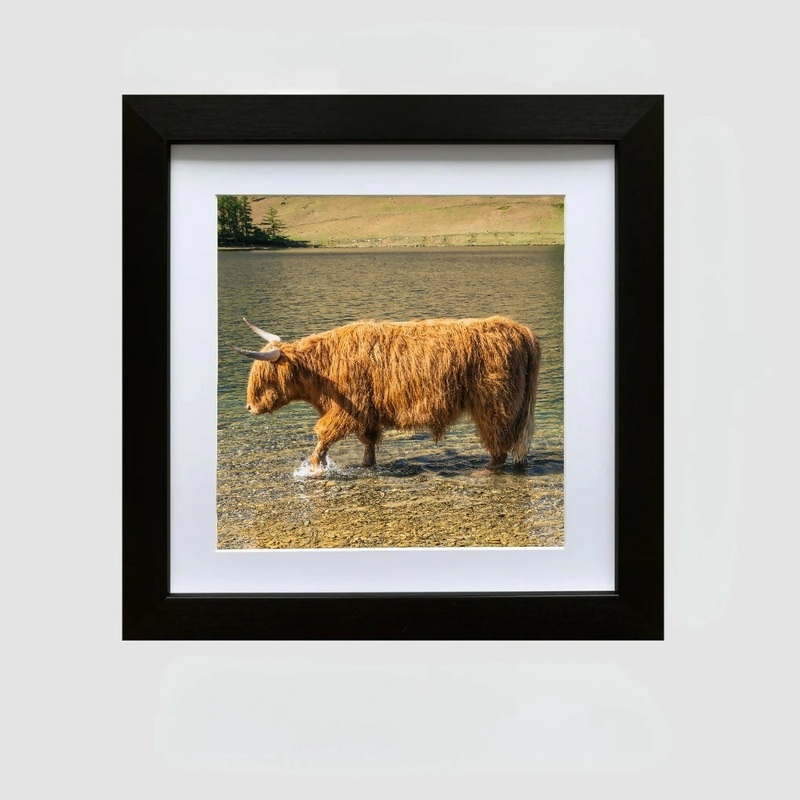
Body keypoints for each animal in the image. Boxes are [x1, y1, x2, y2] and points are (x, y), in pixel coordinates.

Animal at [232, 316, 540, 475]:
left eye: (264, 378)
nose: (249, 407)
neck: (322, 368)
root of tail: (520, 329)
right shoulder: (367, 411)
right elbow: (368, 441)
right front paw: (367, 465)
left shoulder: (348, 407)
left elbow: (324, 434)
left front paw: (315, 465)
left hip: (495, 404)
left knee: (498, 442)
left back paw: (485, 469)